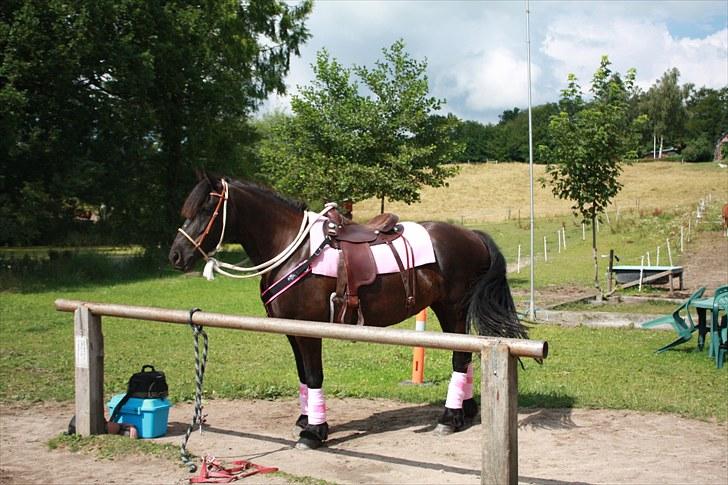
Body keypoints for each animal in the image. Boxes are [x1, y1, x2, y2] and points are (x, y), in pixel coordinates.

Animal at [168, 174, 528, 450]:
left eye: (206, 208)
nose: (176, 255)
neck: (295, 250)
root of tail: (473, 235)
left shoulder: (309, 329)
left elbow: (314, 376)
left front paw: (314, 432)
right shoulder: (291, 329)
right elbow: (302, 375)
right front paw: (305, 419)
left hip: (453, 307)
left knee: (460, 357)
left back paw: (450, 418)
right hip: (449, 309)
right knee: (465, 356)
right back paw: (465, 411)